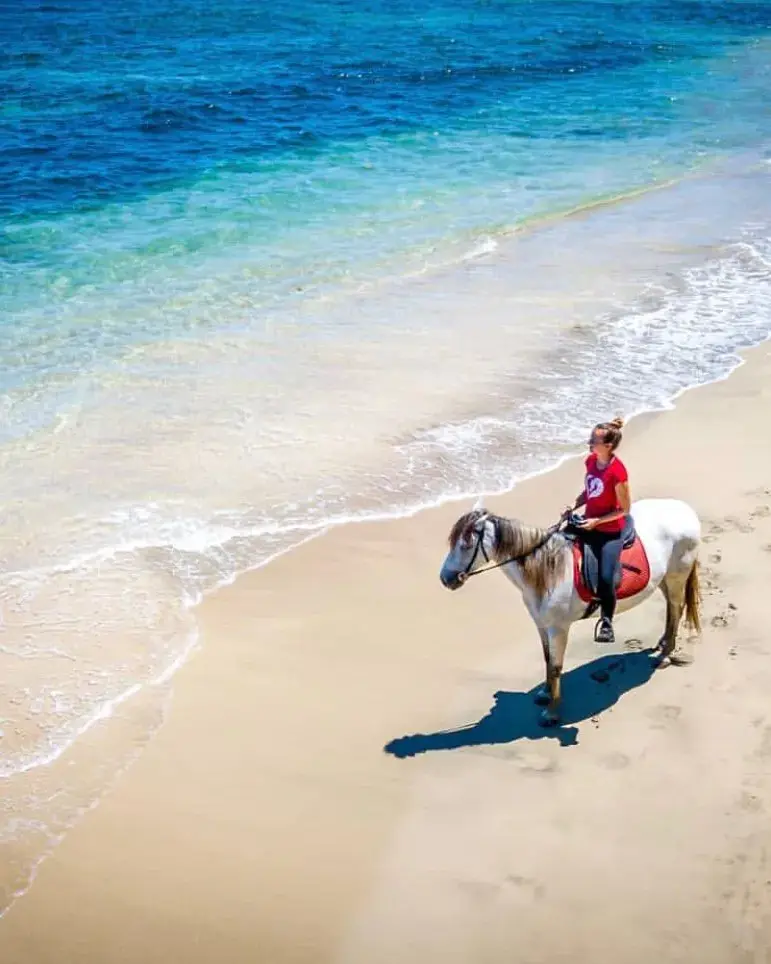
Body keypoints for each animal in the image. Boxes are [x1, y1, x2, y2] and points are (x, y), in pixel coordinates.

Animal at [439, 499, 702, 726]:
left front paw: (552, 714)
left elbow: (556, 666)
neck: (546, 569)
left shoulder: (558, 628)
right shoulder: (541, 624)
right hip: (664, 578)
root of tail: (685, 509)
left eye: (466, 544)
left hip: (677, 575)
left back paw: (664, 655)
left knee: (676, 608)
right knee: (671, 608)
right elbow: (548, 659)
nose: (445, 578)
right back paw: (662, 644)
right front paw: (545, 693)